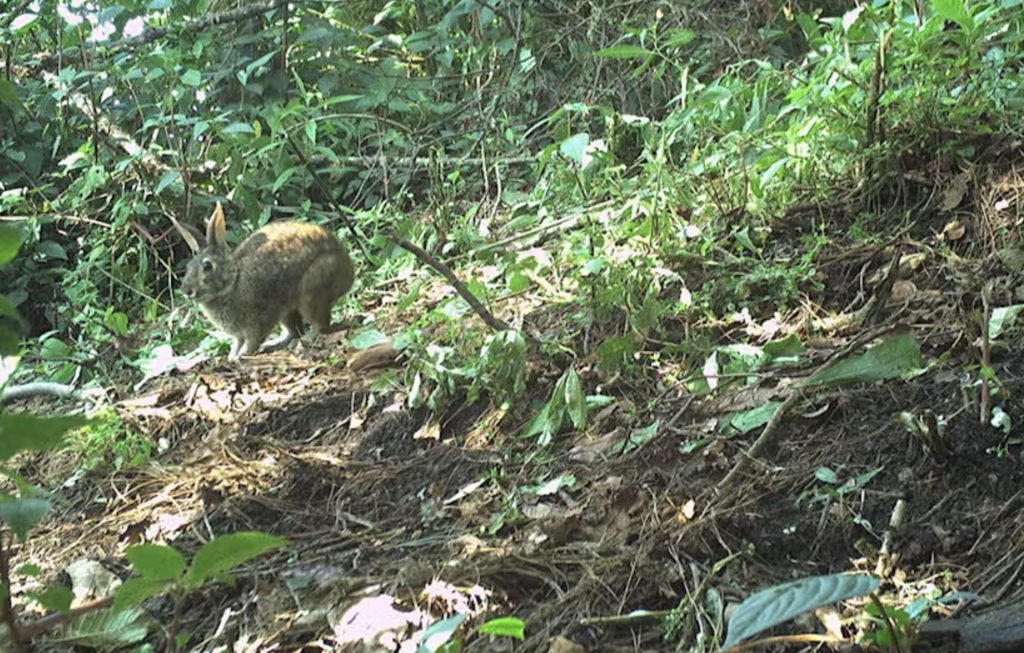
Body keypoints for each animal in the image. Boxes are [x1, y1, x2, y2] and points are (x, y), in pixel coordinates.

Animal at [175, 202, 355, 361]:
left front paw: (242, 355)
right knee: (293, 330)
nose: (186, 290)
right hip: (287, 311)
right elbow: (237, 342)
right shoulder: (240, 333)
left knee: (320, 322)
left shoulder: (258, 320)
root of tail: (348, 272)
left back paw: (307, 339)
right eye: (188, 267)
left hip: (311, 290)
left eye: (207, 266)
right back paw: (274, 344)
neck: (233, 282)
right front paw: (232, 355)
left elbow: (252, 340)